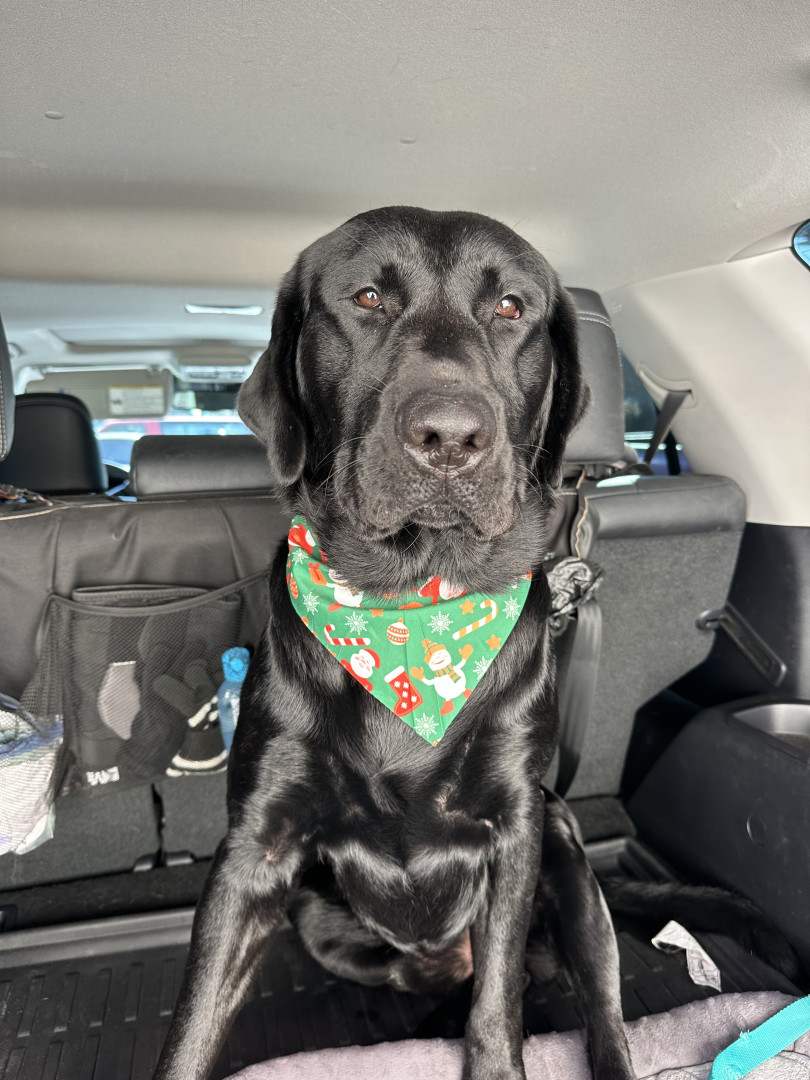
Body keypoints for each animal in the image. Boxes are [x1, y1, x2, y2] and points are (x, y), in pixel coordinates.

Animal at [152, 206, 639, 1080]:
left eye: (511, 307)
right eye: (368, 298)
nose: (449, 435)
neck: (411, 607)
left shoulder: (516, 828)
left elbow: (497, 1010)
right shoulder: (256, 848)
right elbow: (195, 1020)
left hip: (568, 856)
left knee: (597, 1007)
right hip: (323, 921)